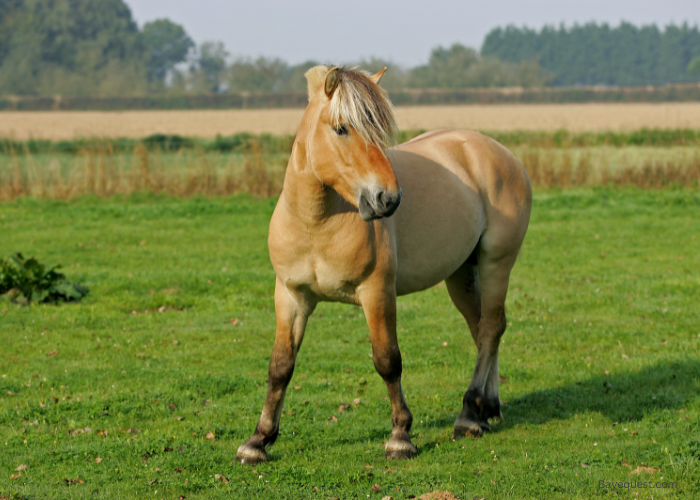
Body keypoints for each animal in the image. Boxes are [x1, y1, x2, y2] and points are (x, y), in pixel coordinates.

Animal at [235, 66, 532, 464]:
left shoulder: (376, 292)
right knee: (483, 328)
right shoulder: (290, 296)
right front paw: (258, 440)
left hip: (496, 262)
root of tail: (499, 153)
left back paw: (469, 413)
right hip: (461, 274)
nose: (388, 198)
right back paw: (487, 409)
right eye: (341, 128)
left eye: (378, 130)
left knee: (490, 328)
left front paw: (400, 436)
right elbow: (280, 365)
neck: (317, 224)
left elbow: (387, 360)